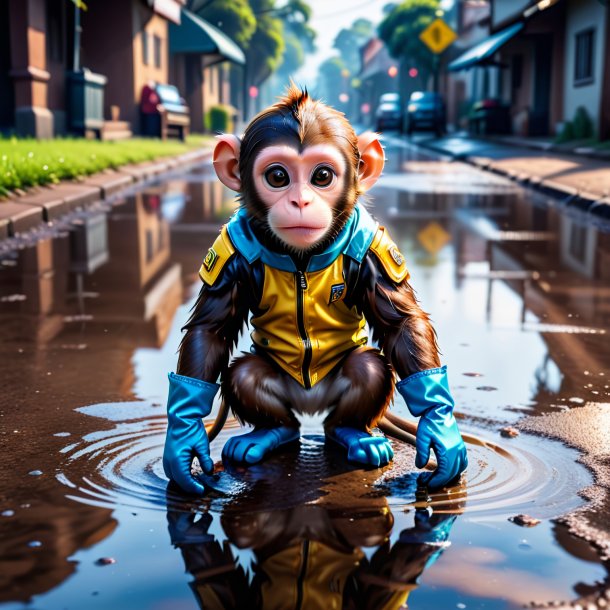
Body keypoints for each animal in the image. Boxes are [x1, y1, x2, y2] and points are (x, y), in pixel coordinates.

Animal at [162, 84, 466, 494]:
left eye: (322, 176)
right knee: (248, 376)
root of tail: (310, 404)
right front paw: (184, 439)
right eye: (277, 176)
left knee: (367, 368)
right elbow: (210, 333)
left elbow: (402, 326)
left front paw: (439, 427)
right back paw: (270, 433)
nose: (300, 200)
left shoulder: (373, 248)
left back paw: (354, 434)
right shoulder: (227, 252)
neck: (302, 261)